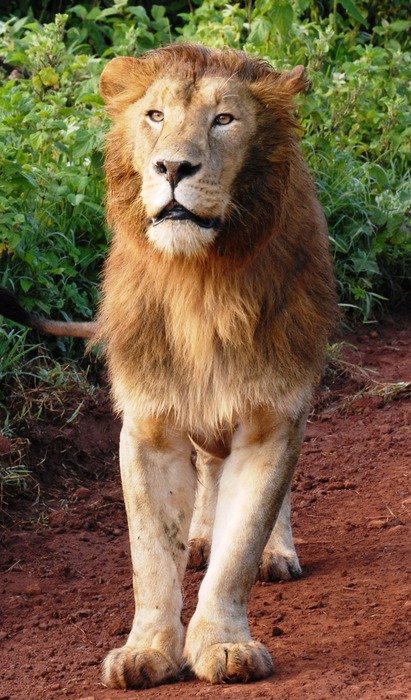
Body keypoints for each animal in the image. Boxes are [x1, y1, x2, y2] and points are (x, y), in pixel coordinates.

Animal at [0, 44, 337, 689]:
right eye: (155, 115)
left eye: (224, 120)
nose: (173, 168)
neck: (199, 283)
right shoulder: (149, 424)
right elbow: (151, 555)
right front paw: (148, 651)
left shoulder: (273, 412)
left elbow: (241, 544)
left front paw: (224, 644)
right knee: (209, 467)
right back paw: (201, 533)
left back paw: (276, 553)